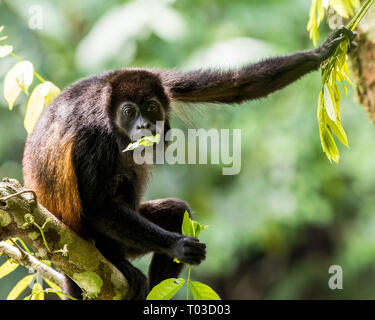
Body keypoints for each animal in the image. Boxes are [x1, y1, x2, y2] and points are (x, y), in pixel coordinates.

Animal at [22, 26, 356, 298]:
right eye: (129, 112)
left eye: (151, 107)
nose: (144, 125)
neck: (106, 106)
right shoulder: (93, 136)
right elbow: (96, 205)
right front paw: (176, 245)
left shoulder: (163, 83)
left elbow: (236, 86)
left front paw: (322, 52)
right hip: (89, 244)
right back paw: (118, 260)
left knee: (175, 210)